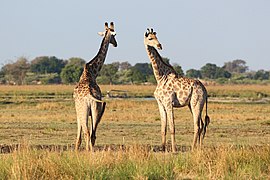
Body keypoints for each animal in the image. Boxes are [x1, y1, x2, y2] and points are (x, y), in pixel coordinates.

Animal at [74, 22, 117, 152]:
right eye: (114, 36)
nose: (116, 43)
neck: (91, 72)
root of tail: (89, 96)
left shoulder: (78, 111)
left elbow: (79, 135)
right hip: (95, 109)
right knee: (92, 134)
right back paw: (91, 151)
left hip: (85, 110)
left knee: (88, 133)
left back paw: (89, 151)